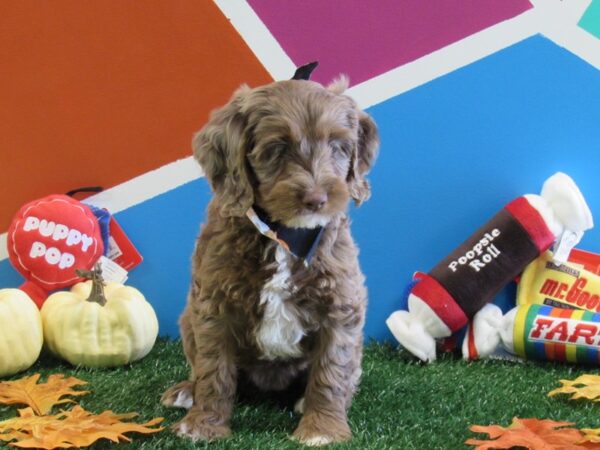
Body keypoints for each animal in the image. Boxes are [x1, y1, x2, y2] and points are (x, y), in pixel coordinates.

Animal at [162, 75, 378, 444]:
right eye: (277, 148)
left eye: (338, 145)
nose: (316, 199)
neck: (285, 234)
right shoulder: (213, 304)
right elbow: (213, 368)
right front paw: (203, 424)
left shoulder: (341, 304)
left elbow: (332, 369)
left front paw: (322, 429)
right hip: (187, 320)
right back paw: (186, 391)